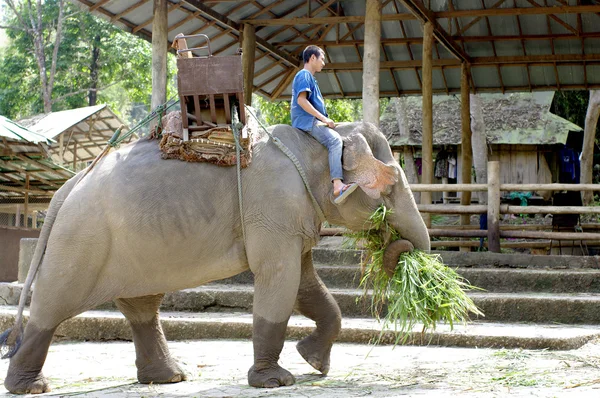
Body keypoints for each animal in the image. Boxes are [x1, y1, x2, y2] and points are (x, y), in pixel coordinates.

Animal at [1, 120, 432, 392]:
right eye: (392, 185)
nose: (396, 243)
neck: (319, 137)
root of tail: (69, 184)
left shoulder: (292, 215)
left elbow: (305, 284)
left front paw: (314, 364)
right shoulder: (273, 208)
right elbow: (280, 279)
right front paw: (276, 382)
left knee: (141, 306)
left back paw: (170, 378)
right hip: (81, 241)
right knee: (53, 304)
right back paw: (31, 387)